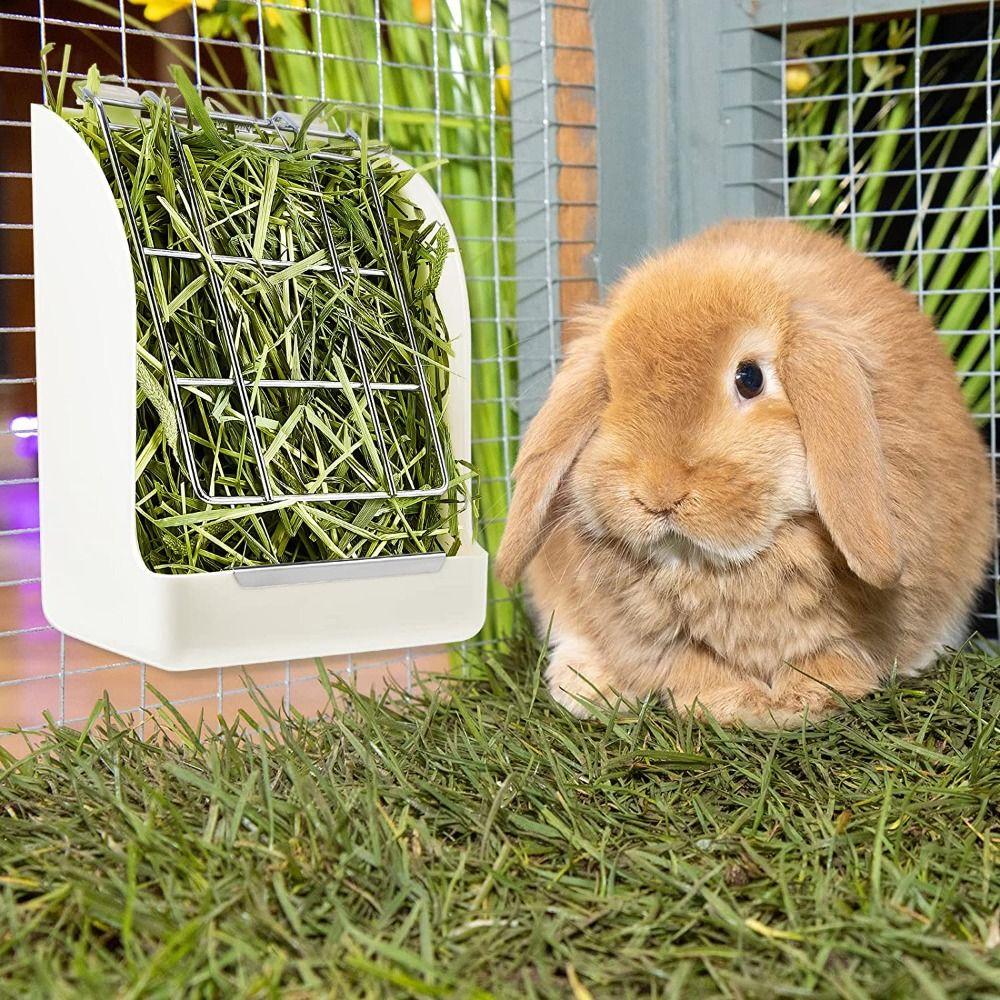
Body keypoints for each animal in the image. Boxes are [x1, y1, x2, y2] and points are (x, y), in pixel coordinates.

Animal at [495, 218, 995, 728]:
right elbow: (693, 666)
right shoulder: (657, 636)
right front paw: (736, 704)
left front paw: (796, 704)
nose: (658, 493)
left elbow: (832, 659)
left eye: (749, 377)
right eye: (609, 389)